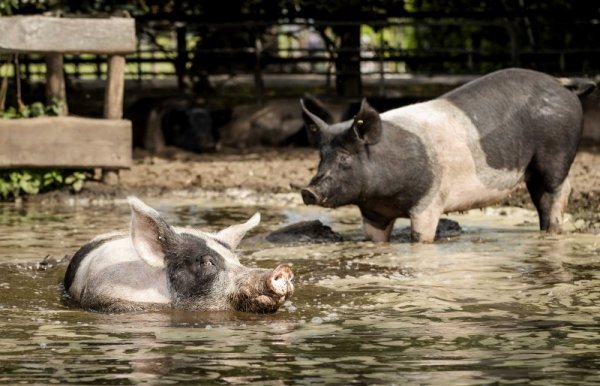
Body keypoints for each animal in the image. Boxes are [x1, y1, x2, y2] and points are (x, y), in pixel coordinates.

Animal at [300, 66, 596, 241]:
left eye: (345, 157)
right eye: (321, 157)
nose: (307, 191)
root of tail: (562, 82)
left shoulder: (429, 202)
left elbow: (422, 238)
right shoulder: (374, 213)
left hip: (556, 153)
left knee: (558, 191)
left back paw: (553, 232)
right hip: (533, 169)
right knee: (543, 198)